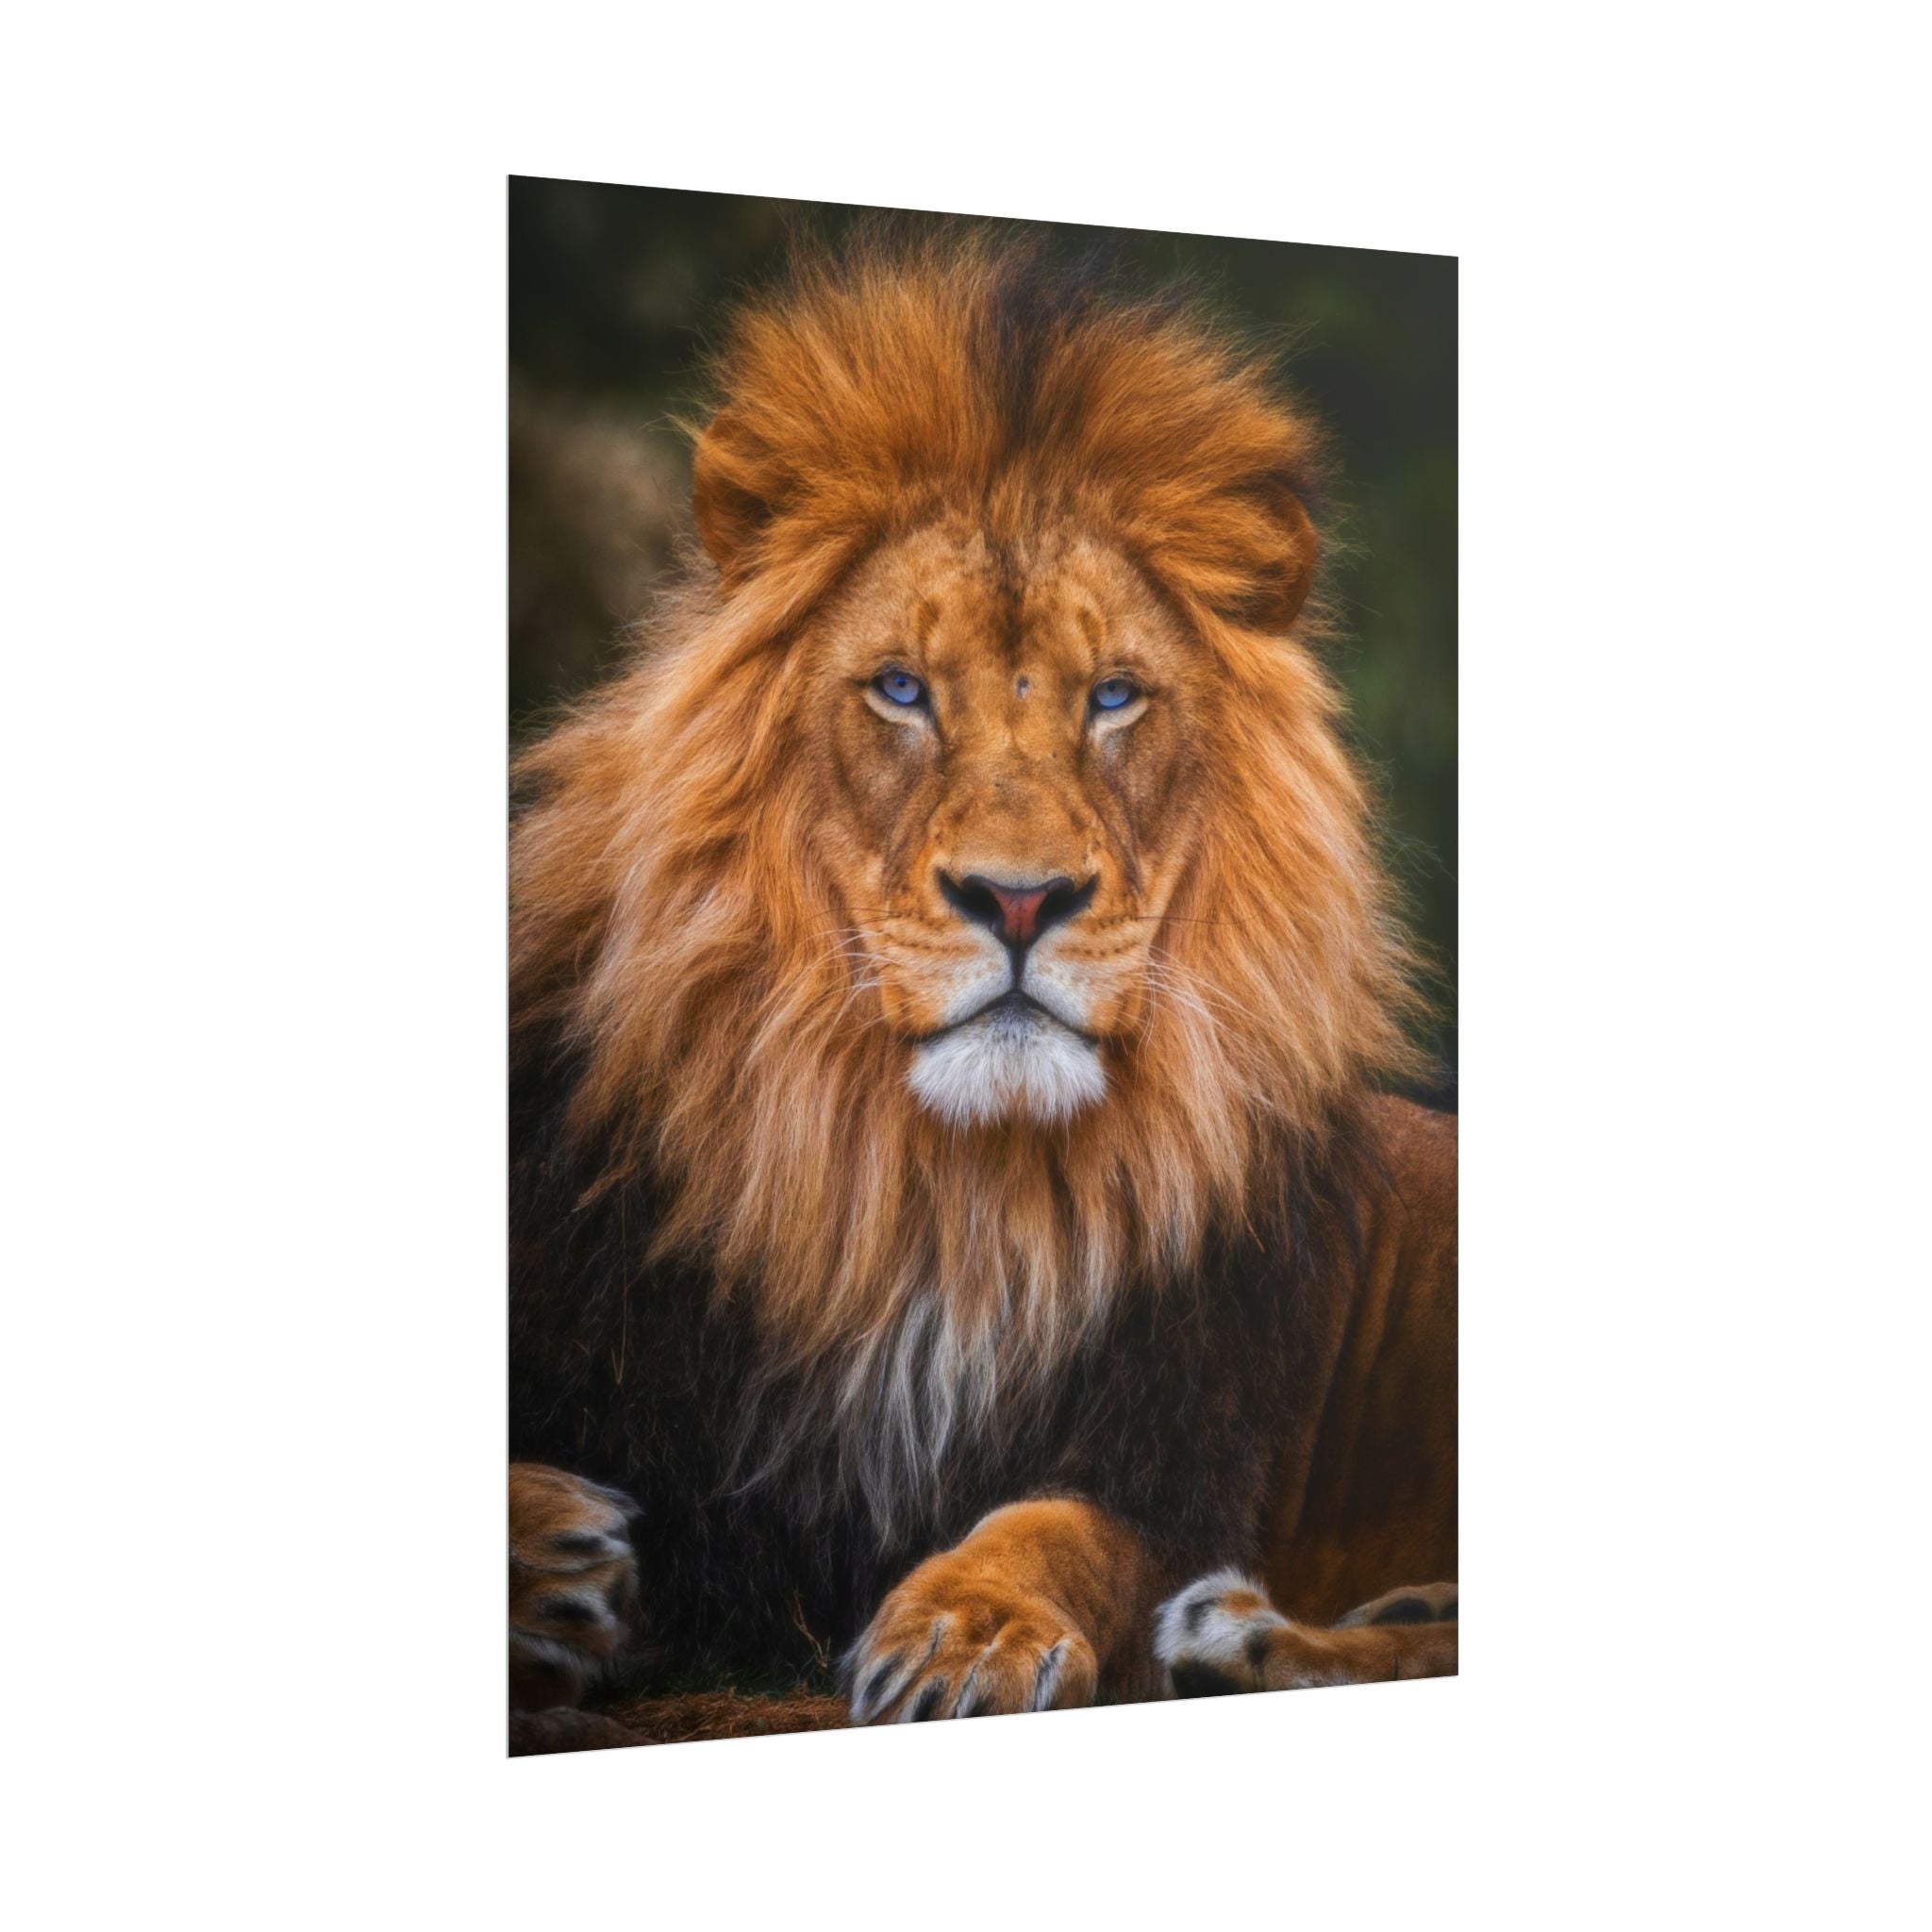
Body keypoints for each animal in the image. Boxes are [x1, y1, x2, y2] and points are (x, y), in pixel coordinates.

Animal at [507, 228, 1456, 1735]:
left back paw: (1244, 1635)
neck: (935, 1196)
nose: (1019, 899)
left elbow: (1061, 1529)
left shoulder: (1180, 1460)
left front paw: (966, 1627)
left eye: (1113, 697)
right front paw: (552, 1557)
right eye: (900, 688)